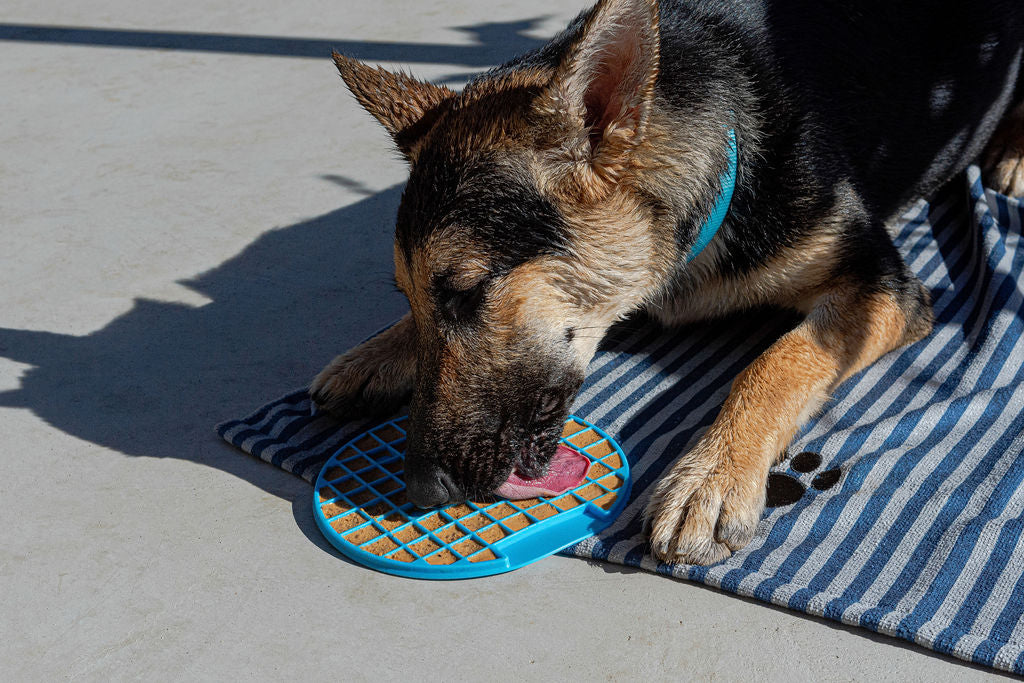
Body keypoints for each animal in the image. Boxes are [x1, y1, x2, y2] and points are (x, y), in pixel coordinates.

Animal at [309, 0, 1024, 565]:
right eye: (411, 297)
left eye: (465, 291)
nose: (420, 493)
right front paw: (380, 350)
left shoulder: (883, 288)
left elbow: (779, 361)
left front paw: (713, 476)